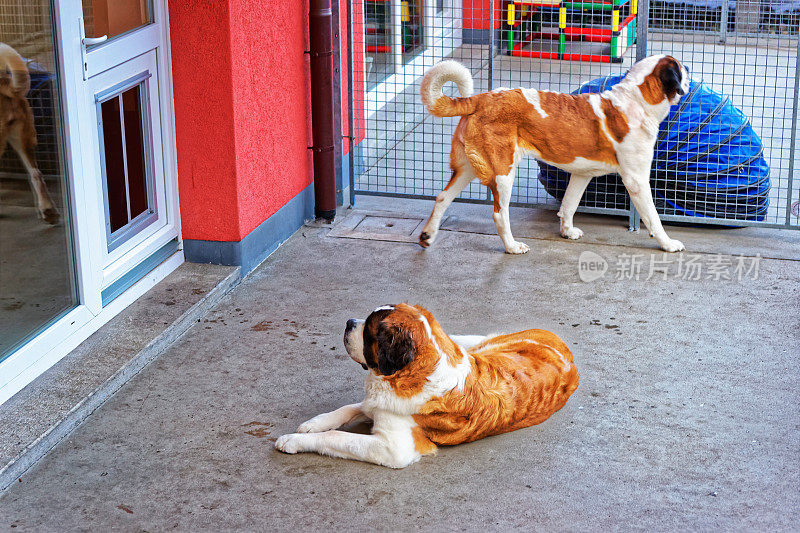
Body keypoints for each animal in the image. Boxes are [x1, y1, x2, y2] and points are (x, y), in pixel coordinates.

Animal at [278, 306, 580, 468]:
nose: (349, 322)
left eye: (368, 332)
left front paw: (293, 441)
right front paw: (314, 424)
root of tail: (566, 350)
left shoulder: (395, 449)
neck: (407, 373)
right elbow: (349, 408)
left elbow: (338, 437)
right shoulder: (375, 403)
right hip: (482, 345)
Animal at [418, 54, 688, 254]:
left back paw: (427, 235)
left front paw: (567, 231)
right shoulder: (636, 180)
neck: (638, 99)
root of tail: (480, 98)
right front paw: (667, 243)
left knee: (442, 197)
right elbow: (653, 216)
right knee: (499, 214)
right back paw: (512, 246)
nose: (688, 67)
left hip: (468, 168)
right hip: (503, 173)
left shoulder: (582, 175)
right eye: (681, 68)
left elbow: (569, 204)